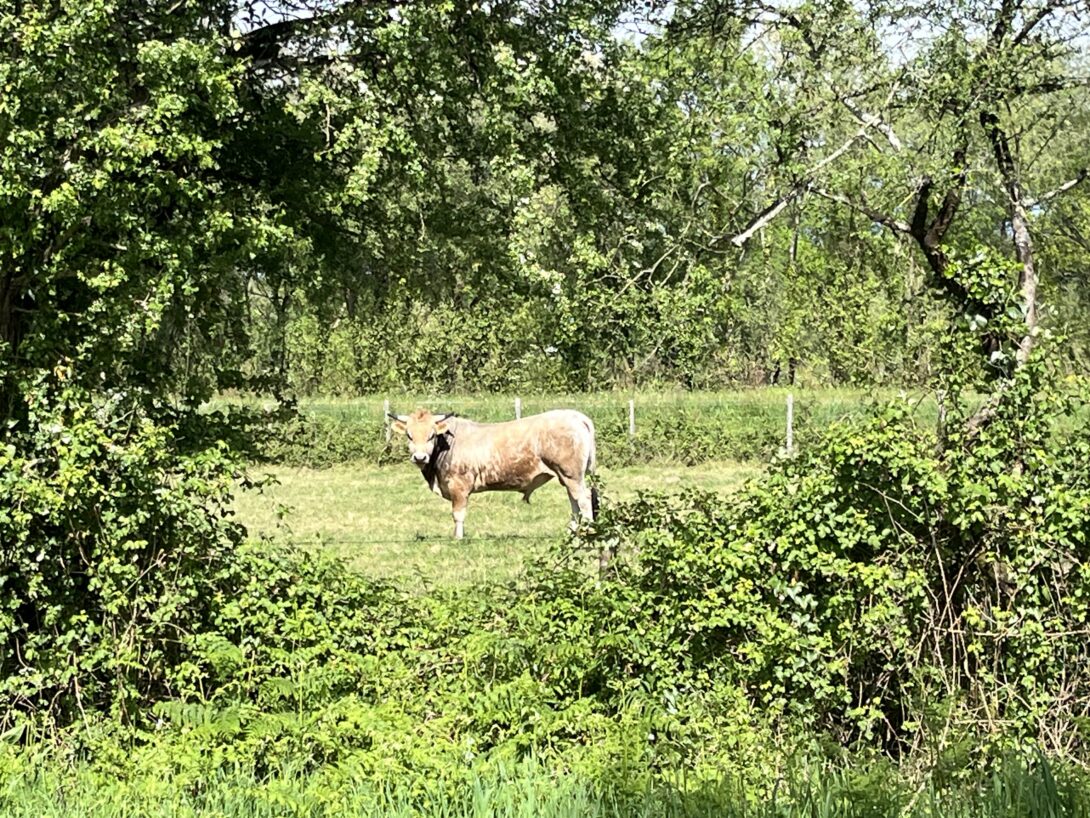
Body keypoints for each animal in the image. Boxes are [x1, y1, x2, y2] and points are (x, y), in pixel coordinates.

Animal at [387, 408, 598, 539]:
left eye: (431, 435)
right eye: (409, 435)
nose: (420, 457)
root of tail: (576, 416)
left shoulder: (459, 486)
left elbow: (458, 514)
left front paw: (458, 537)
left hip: (571, 474)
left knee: (584, 499)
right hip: (567, 476)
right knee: (574, 502)